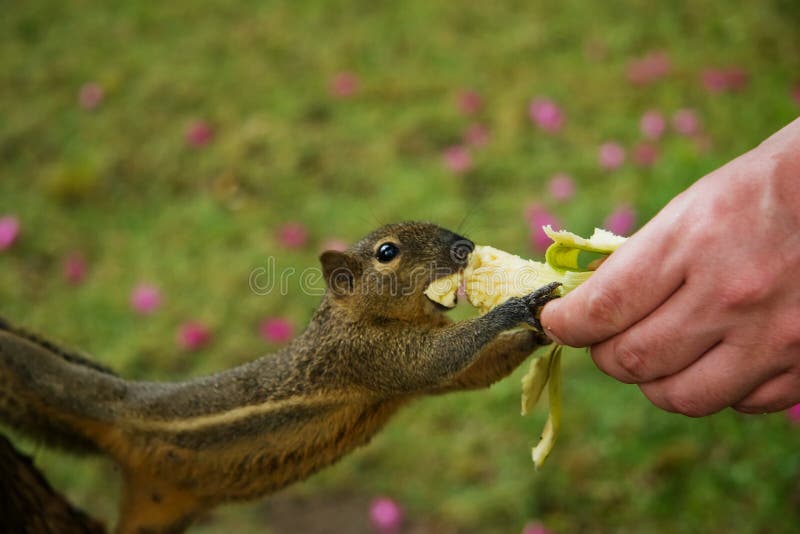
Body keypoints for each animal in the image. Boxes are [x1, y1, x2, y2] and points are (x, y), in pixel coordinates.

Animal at [0, 221, 561, 534]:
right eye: (387, 253)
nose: (465, 246)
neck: (354, 317)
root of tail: (125, 402)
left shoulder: (413, 381)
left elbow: (469, 373)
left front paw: (540, 331)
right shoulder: (372, 358)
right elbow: (442, 358)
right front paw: (516, 307)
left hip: (153, 516)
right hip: (57, 385)